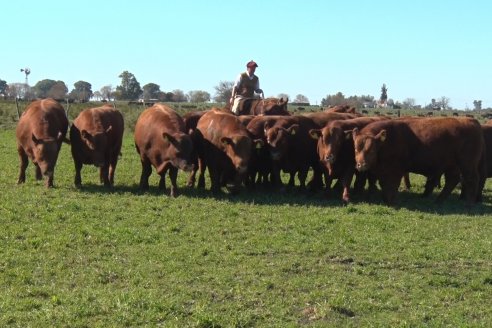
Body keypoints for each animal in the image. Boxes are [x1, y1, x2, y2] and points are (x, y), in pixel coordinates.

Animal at [354, 116, 484, 205]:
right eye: (355, 149)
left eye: (371, 150)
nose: (361, 165)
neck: (385, 142)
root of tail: (471, 121)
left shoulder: (395, 171)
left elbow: (391, 186)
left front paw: (390, 201)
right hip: (453, 166)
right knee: (452, 181)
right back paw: (439, 200)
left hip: (467, 165)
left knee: (472, 180)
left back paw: (469, 203)